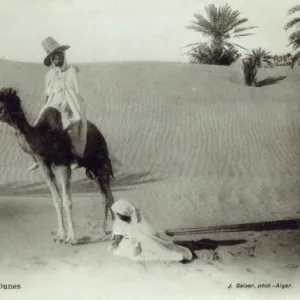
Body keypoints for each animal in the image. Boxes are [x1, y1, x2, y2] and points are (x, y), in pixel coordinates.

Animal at [0, 86, 115, 244]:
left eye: (1, 102)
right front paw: (60, 235)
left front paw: (72, 238)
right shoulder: (44, 164)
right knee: (104, 197)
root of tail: (100, 135)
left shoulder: (63, 164)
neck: (43, 137)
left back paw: (113, 231)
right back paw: (104, 230)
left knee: (109, 197)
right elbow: (56, 200)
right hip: (92, 171)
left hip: (101, 164)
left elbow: (67, 200)